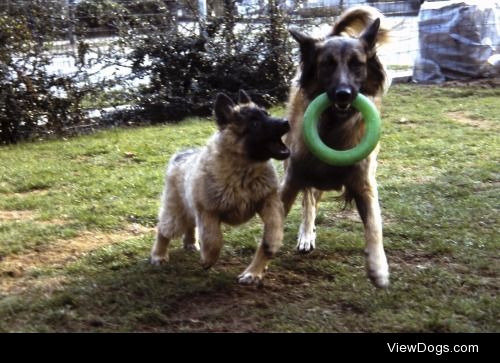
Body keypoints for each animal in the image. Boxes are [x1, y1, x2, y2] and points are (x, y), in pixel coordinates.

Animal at [150, 91, 290, 284]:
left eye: (267, 114)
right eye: (254, 123)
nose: (286, 122)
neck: (245, 170)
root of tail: (182, 155)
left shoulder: (269, 201)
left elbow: (271, 233)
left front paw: (255, 271)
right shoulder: (208, 212)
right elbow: (214, 239)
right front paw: (208, 259)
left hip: (189, 207)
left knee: (189, 224)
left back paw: (190, 242)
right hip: (176, 211)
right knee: (164, 230)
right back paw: (159, 255)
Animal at [282, 7, 390, 288]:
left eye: (356, 64)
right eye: (327, 64)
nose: (343, 94)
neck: (334, 126)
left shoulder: (364, 183)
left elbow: (374, 226)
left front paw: (378, 268)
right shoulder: (295, 175)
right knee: (309, 202)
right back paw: (306, 235)